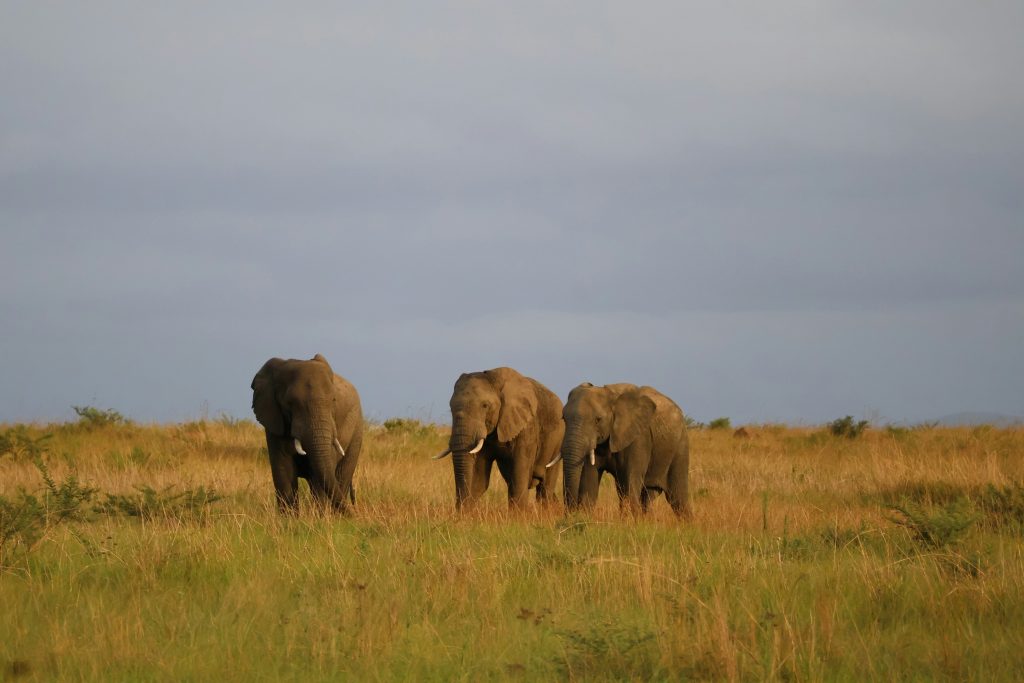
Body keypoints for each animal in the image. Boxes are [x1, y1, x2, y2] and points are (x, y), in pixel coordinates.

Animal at [251, 354, 363, 514]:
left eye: (333, 401)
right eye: (290, 403)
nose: (355, 515)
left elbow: (319, 476)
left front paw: (320, 516)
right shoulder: (274, 421)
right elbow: (283, 470)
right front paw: (290, 518)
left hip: (357, 427)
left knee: (342, 475)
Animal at [434, 367, 564, 510]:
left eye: (485, 405)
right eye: (451, 407)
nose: (459, 510)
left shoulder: (526, 427)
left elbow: (519, 475)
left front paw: (519, 515)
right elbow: (479, 481)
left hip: (557, 442)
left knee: (546, 485)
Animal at [554, 382, 691, 518]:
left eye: (598, 420)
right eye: (564, 418)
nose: (570, 513)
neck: (610, 395)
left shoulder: (638, 438)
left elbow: (630, 483)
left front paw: (634, 520)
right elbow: (589, 481)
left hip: (680, 445)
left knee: (677, 498)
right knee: (646, 496)